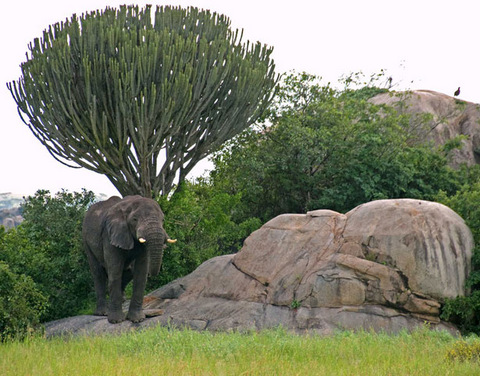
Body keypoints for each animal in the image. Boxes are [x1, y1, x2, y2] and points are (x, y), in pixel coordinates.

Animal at [82, 194, 176, 324]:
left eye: (163, 220)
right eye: (135, 219)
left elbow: (141, 272)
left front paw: (137, 319)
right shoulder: (109, 234)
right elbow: (115, 271)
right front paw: (116, 321)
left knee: (128, 271)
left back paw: (122, 301)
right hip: (86, 240)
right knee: (98, 273)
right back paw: (102, 313)